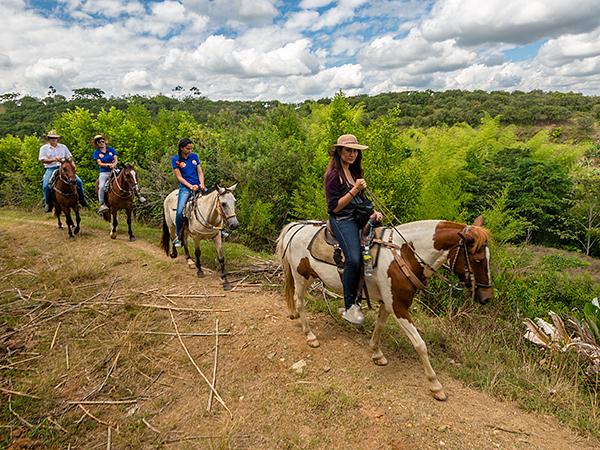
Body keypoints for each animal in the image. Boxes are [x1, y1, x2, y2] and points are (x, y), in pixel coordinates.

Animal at [276, 216, 492, 400]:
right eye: (478, 259)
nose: (487, 297)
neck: (404, 254)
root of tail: (296, 226)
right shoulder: (398, 307)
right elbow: (420, 344)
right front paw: (435, 385)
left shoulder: (388, 303)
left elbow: (379, 326)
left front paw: (376, 353)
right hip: (301, 276)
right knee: (299, 301)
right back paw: (310, 335)